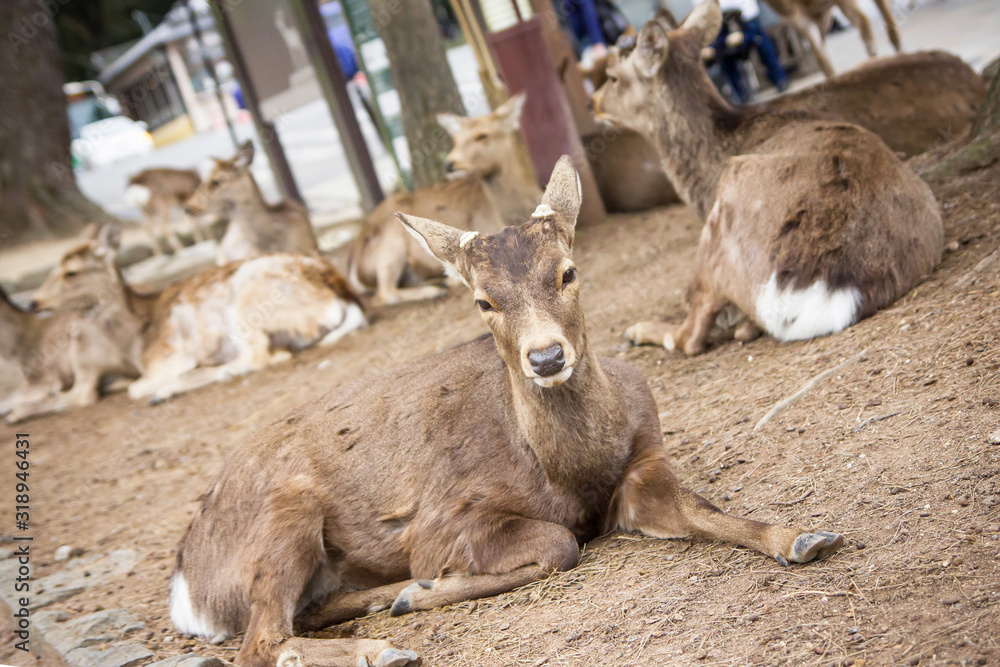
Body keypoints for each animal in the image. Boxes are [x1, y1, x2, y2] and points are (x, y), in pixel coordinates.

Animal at [30, 224, 365, 404]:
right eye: (53, 268)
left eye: (71, 272)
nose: (34, 302)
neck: (137, 341)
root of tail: (343, 295)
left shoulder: (172, 355)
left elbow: (136, 388)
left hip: (247, 305)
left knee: (257, 356)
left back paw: (167, 392)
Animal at [168, 157, 845, 667]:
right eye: (483, 301)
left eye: (568, 271)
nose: (546, 356)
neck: (571, 473)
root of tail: (186, 586)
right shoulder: (442, 519)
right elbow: (557, 543)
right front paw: (428, 586)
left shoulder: (646, 459)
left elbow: (702, 509)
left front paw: (803, 536)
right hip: (286, 512)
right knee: (260, 642)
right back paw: (385, 641)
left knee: (298, 616)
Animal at [348, 93, 542, 306]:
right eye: (455, 139)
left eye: (482, 135)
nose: (449, 164)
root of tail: (353, 267)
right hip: (392, 242)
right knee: (383, 294)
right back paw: (435, 290)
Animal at [591, 2, 943, 356]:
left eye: (612, 77)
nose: (593, 103)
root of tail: (829, 290)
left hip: (724, 214)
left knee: (690, 336)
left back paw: (638, 331)